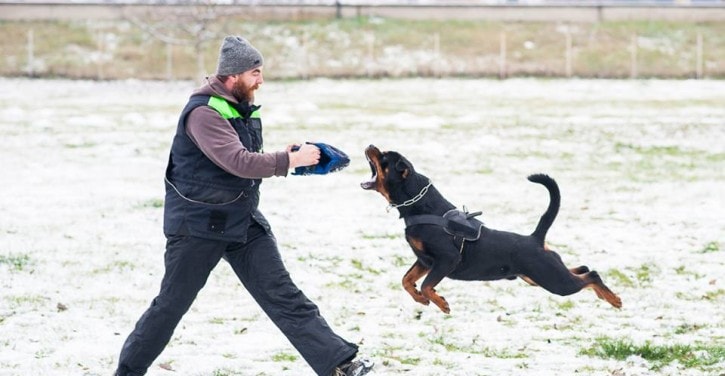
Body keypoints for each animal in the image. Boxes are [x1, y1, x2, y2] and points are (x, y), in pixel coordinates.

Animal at [360, 145, 620, 314]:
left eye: (383, 157)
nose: (370, 145)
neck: (419, 205)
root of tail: (535, 238)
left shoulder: (446, 259)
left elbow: (426, 285)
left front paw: (441, 303)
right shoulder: (424, 260)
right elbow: (406, 280)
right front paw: (421, 300)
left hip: (554, 281)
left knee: (591, 275)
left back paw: (614, 299)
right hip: (538, 276)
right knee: (582, 269)